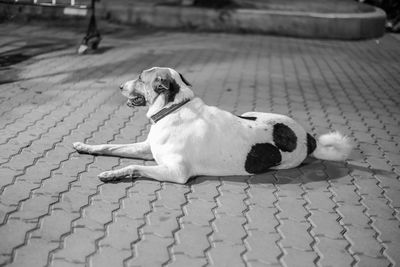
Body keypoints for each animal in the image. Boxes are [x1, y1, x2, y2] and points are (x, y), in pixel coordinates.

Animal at [72, 67, 354, 184]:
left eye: (141, 78)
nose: (119, 86)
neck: (174, 110)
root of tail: (308, 136)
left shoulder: (176, 172)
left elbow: (132, 167)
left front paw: (112, 174)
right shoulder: (146, 148)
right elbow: (108, 146)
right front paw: (85, 146)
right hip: (249, 112)